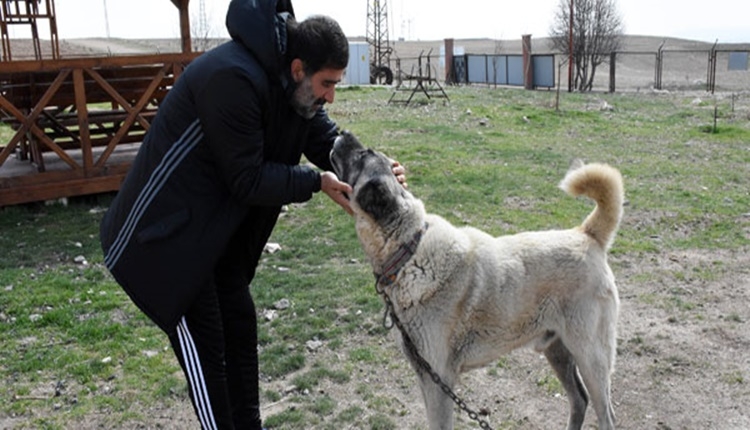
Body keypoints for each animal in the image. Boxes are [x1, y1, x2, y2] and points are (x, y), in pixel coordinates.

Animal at [332, 131, 624, 430]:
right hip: (558, 351)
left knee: (606, 414)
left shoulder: (439, 382)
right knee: (579, 400)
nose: (342, 133)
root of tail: (586, 234)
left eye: (363, 155)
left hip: (591, 357)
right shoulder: (426, 377)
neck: (409, 250)